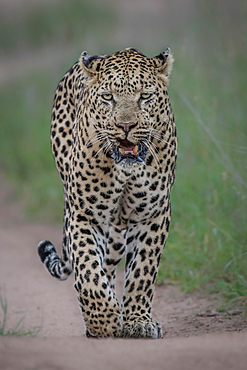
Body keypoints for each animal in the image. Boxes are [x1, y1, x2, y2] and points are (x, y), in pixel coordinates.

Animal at [37, 47, 177, 340]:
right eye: (108, 97)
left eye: (145, 96)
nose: (126, 126)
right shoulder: (83, 214)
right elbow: (88, 270)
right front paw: (104, 321)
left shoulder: (154, 215)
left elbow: (143, 271)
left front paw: (138, 321)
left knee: (112, 263)